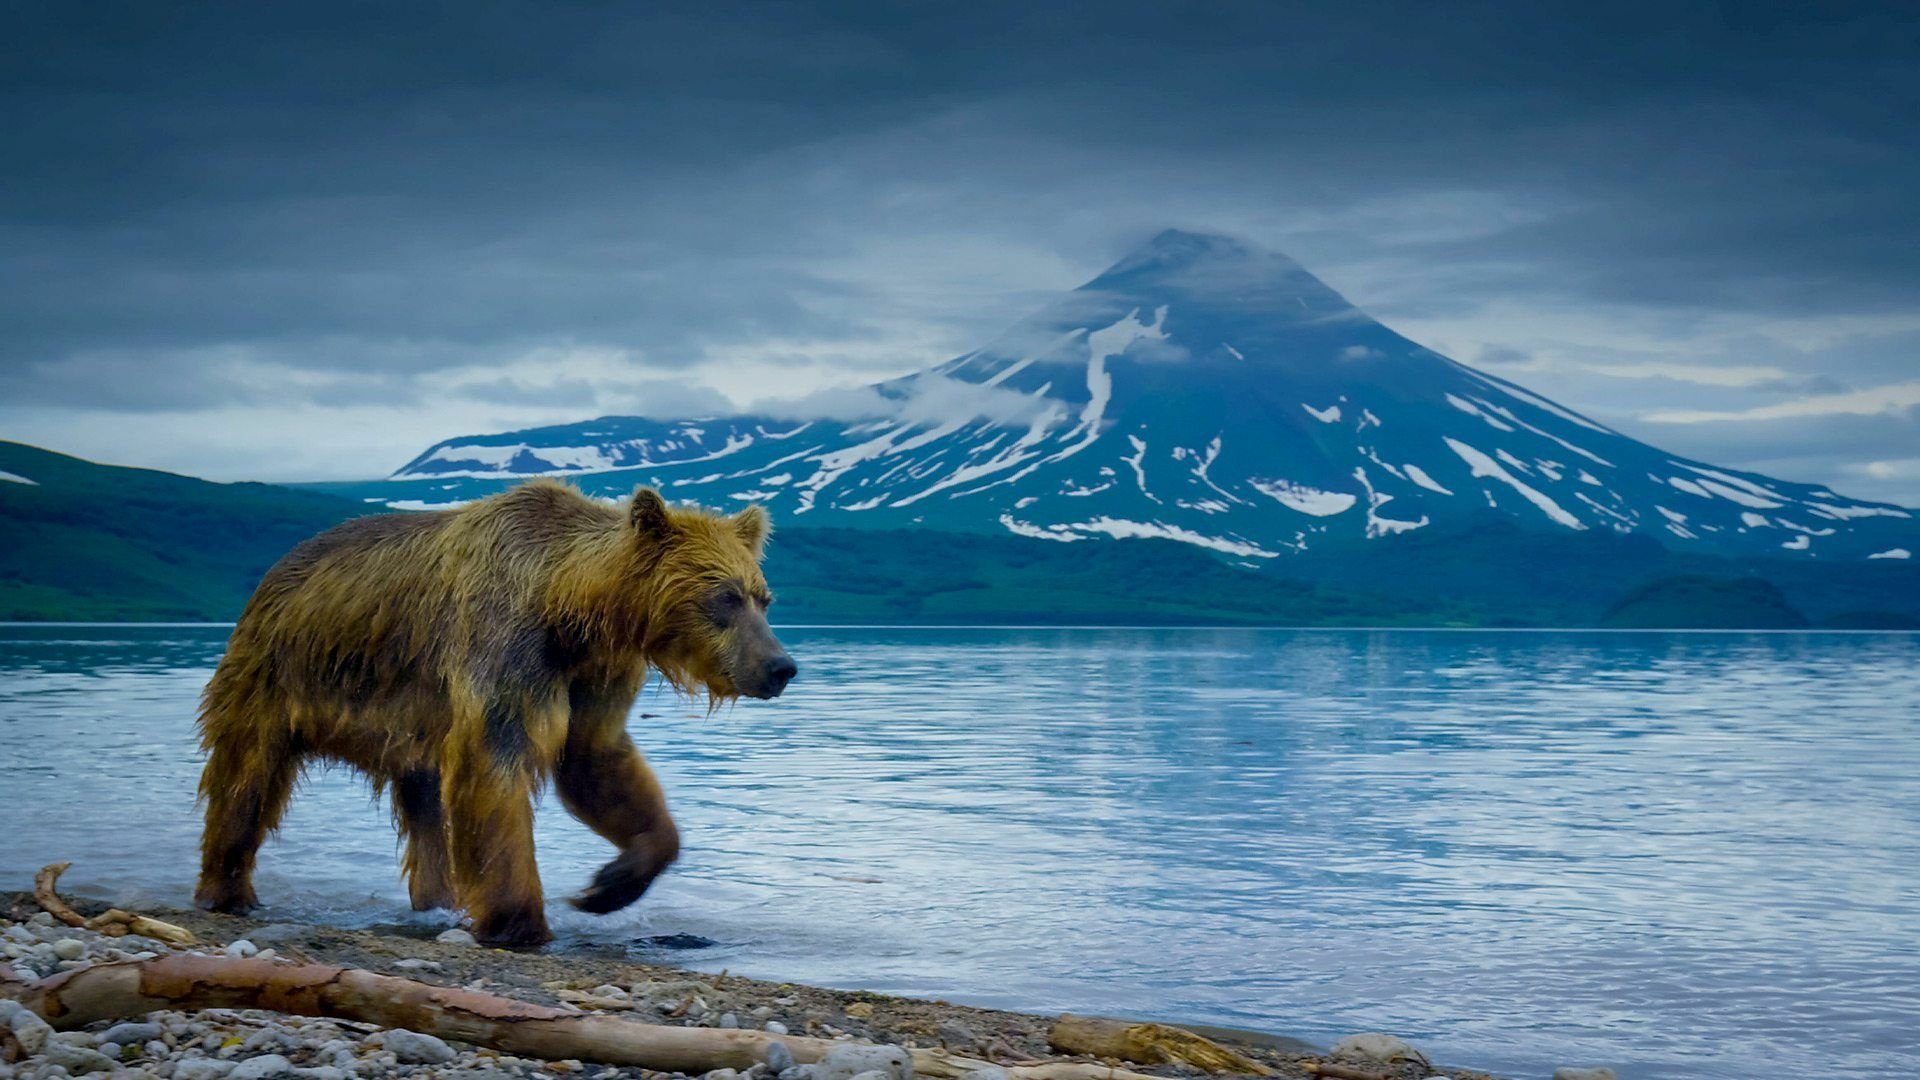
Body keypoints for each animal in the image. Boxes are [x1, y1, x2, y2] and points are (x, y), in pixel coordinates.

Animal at [192, 480, 795, 945]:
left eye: (763, 597)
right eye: (724, 596)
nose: (780, 666)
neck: (572, 612)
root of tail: (276, 568)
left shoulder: (593, 677)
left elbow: (596, 762)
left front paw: (609, 884)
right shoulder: (505, 649)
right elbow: (496, 770)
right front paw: (519, 920)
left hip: (406, 732)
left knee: (425, 811)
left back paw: (437, 900)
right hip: (275, 676)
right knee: (246, 780)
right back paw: (227, 890)